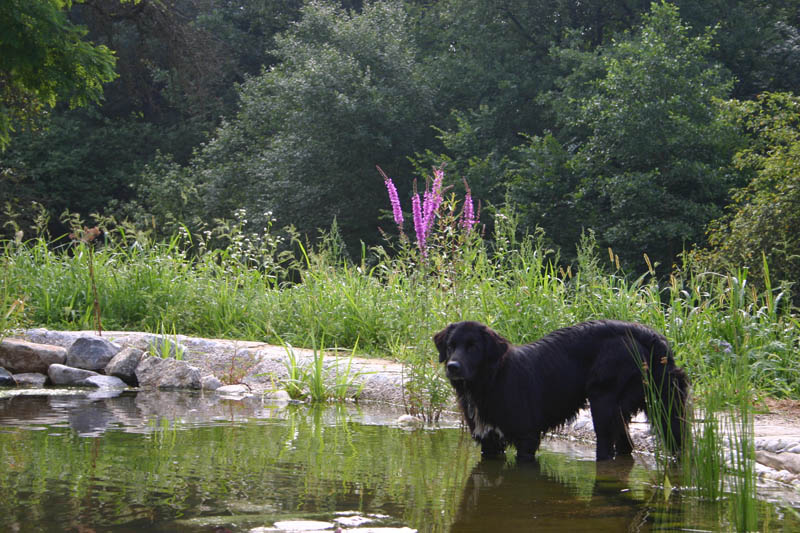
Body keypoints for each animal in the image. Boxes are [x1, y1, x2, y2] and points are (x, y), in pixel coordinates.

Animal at [434, 318, 692, 460]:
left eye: (473, 347)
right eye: (451, 346)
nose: (453, 366)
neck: (491, 380)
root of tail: (651, 336)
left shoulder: (527, 438)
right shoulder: (489, 444)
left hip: (604, 402)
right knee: (626, 447)